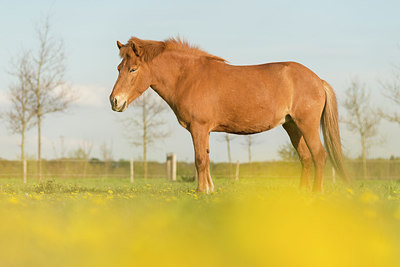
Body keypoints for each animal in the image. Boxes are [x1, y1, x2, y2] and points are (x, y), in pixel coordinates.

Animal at [108, 36, 346, 194]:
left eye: (133, 69)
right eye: (119, 68)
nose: (114, 101)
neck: (189, 77)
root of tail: (317, 80)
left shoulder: (199, 127)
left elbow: (200, 159)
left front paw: (201, 192)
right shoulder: (205, 131)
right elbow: (206, 157)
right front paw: (210, 190)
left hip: (306, 125)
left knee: (319, 155)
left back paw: (315, 194)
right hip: (292, 126)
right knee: (305, 158)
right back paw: (301, 194)